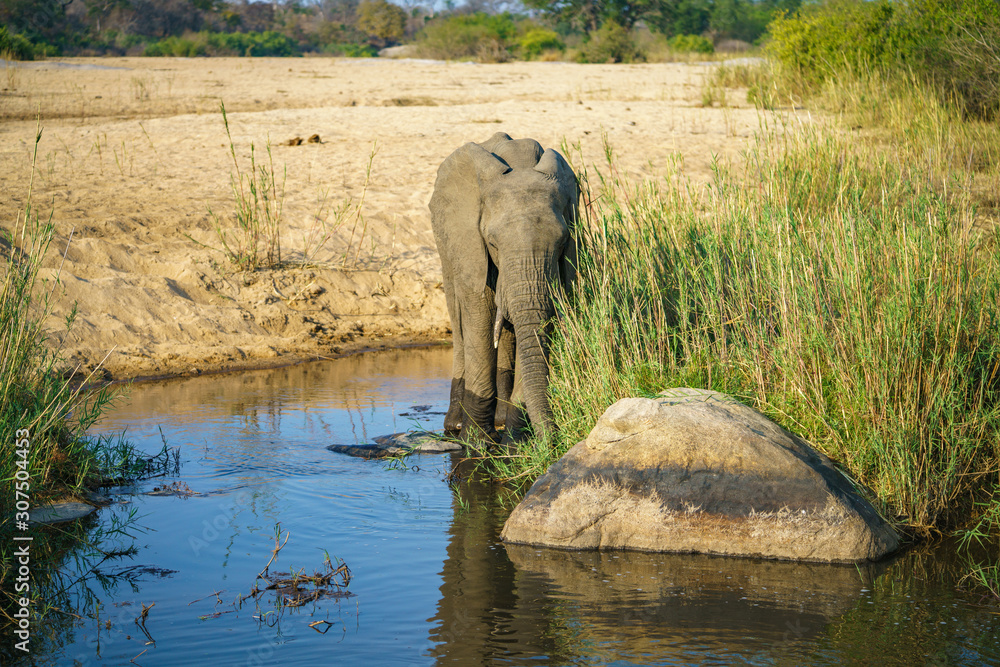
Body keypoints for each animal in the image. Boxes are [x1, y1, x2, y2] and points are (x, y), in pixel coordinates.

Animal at [429, 132, 579, 444]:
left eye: (562, 242)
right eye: (493, 243)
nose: (554, 440)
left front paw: (516, 443)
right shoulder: (471, 242)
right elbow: (480, 314)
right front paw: (476, 443)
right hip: (446, 244)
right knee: (459, 317)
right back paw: (454, 426)